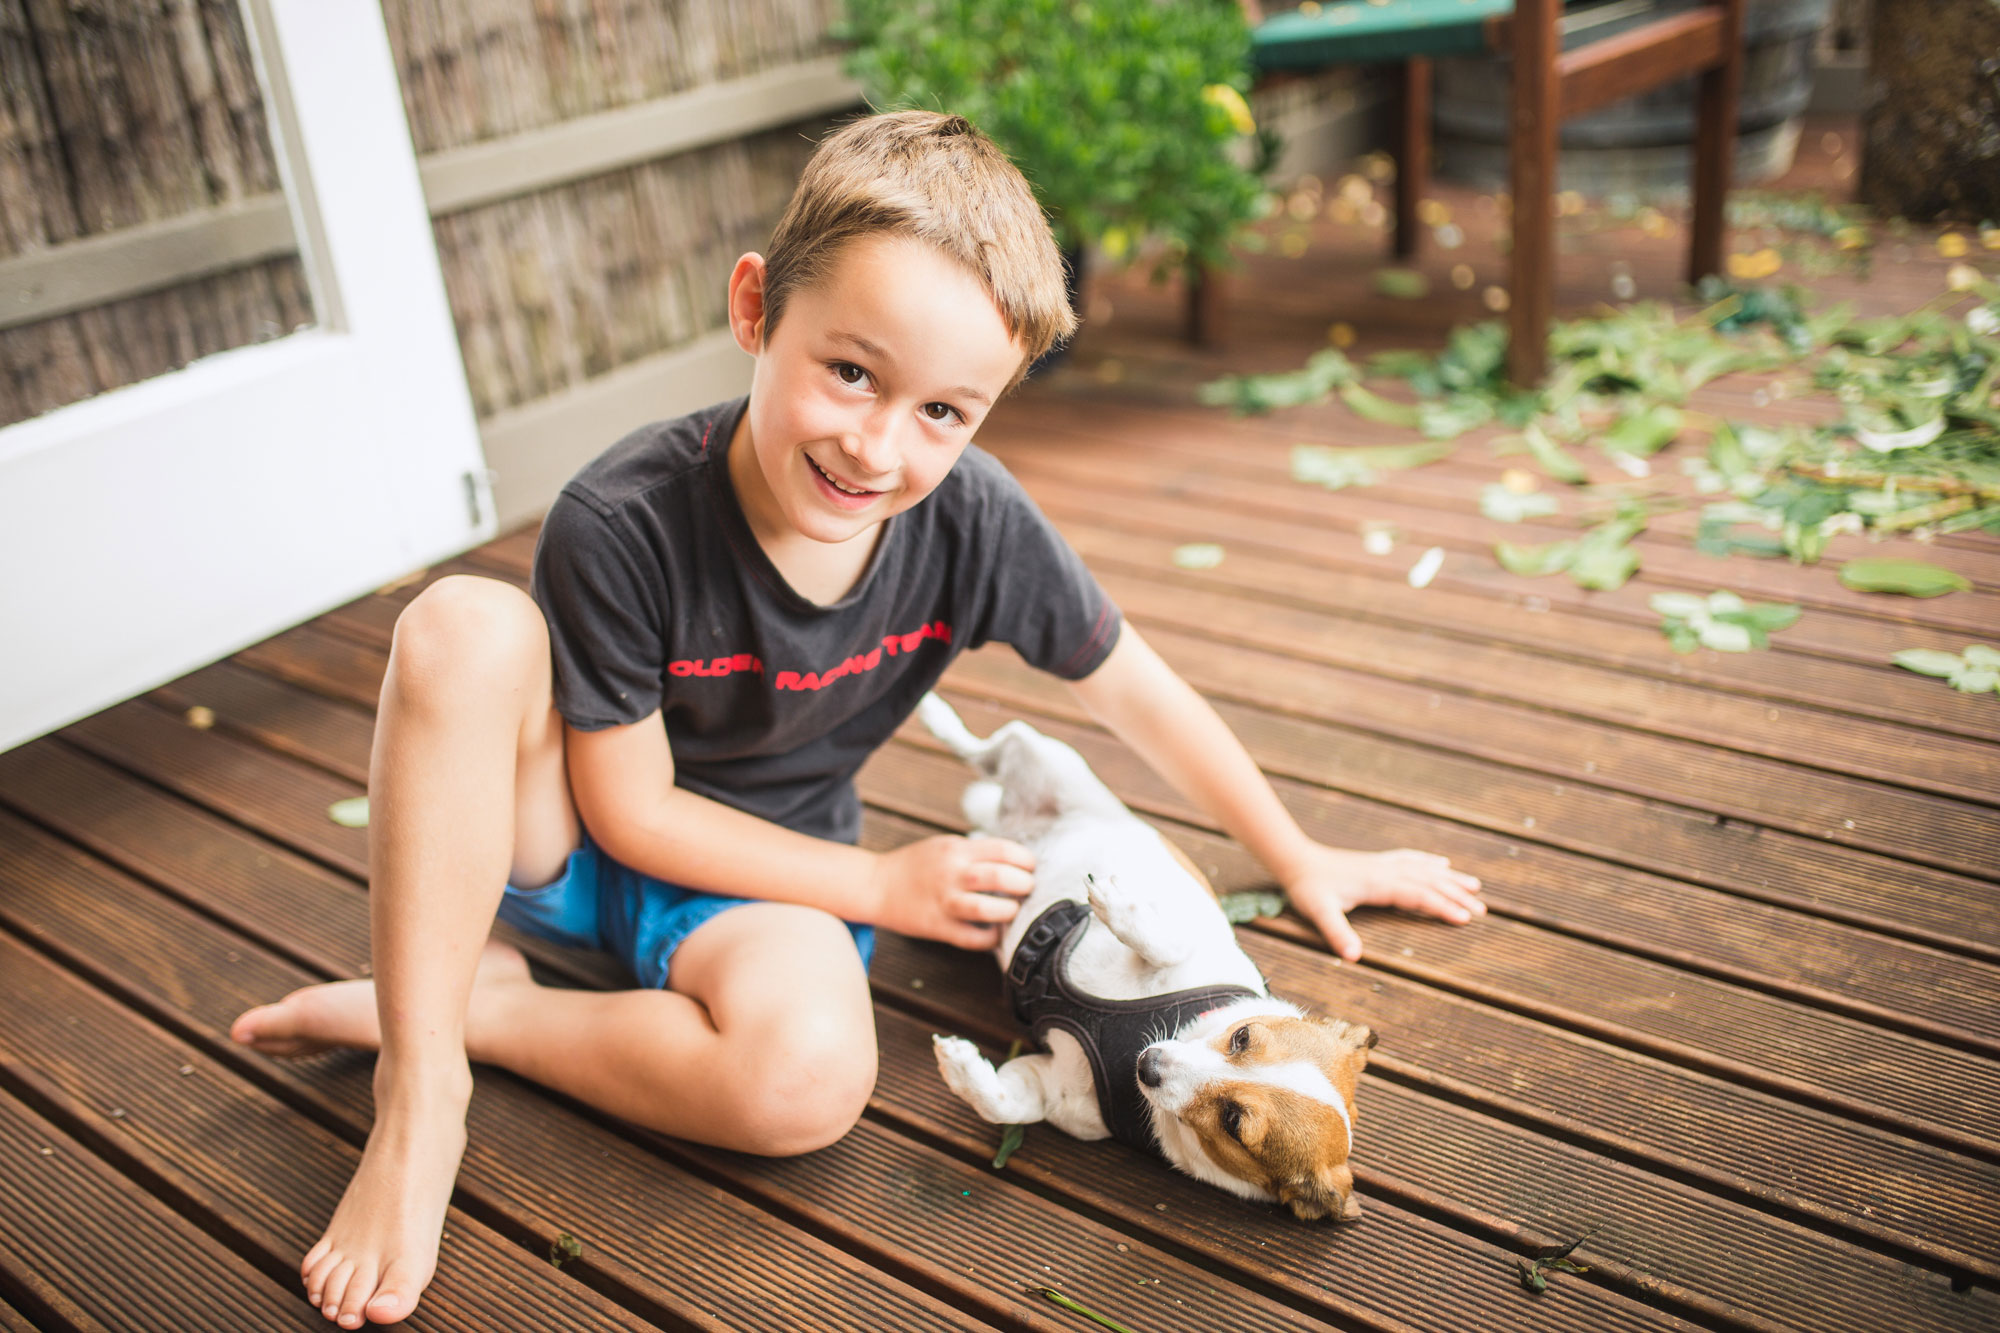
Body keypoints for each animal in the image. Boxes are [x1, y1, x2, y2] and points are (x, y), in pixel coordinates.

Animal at [920, 688, 1376, 1216]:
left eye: (1233, 1122)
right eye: (1242, 1037)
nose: (1147, 1063)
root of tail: (1007, 831)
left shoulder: (1046, 1085)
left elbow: (1002, 1103)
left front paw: (961, 1067)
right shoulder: (1189, 942)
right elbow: (1167, 942)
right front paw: (1116, 905)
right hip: (1052, 762)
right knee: (992, 744)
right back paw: (936, 713)